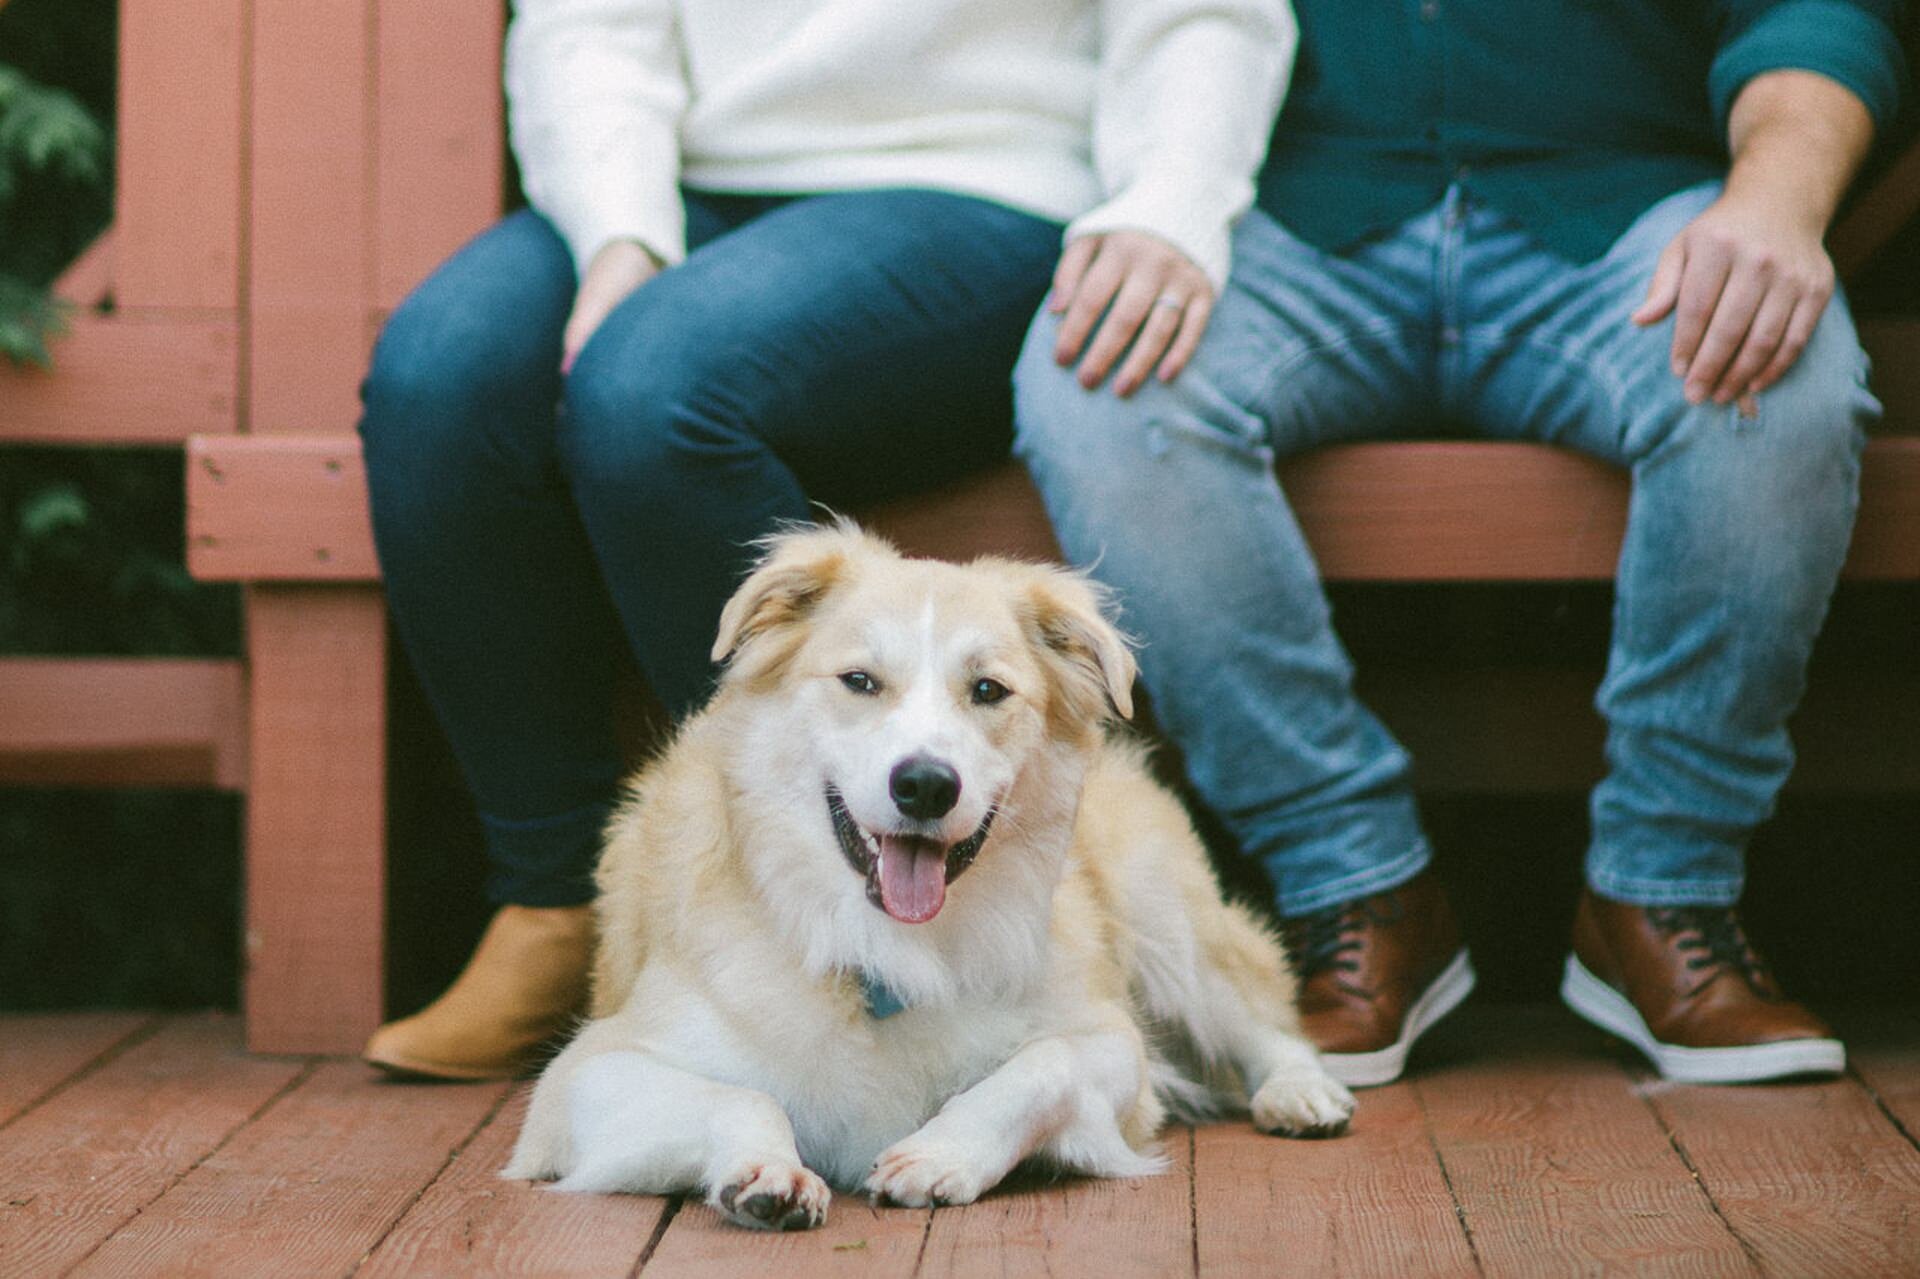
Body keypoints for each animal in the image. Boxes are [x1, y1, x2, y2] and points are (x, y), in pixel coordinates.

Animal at [506, 522, 1351, 1229]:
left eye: (988, 690)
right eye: (859, 680)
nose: (924, 785)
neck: (888, 947)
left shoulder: (1113, 1039)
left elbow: (1042, 1063)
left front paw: (943, 1151)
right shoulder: (582, 1080)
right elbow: (741, 1094)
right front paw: (766, 1169)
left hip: (1167, 924)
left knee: (1264, 1018)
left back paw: (1301, 1090)